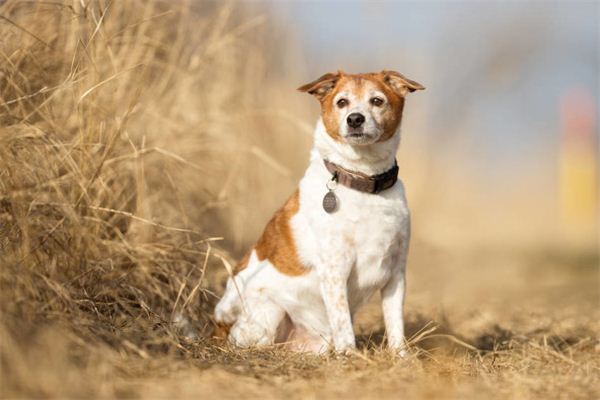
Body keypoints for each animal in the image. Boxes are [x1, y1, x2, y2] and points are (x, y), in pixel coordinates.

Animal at [213, 70, 424, 354]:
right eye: (342, 102)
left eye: (377, 101)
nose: (355, 119)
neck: (365, 184)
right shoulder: (335, 270)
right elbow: (343, 322)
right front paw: (350, 356)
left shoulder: (396, 273)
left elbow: (395, 326)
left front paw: (400, 357)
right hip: (269, 309)